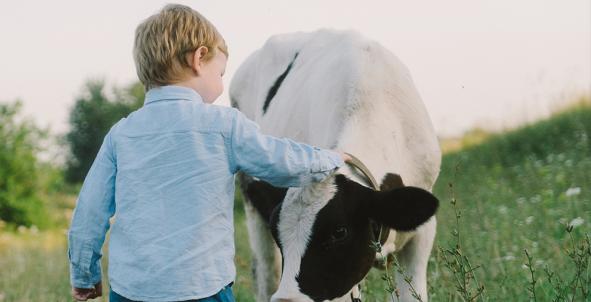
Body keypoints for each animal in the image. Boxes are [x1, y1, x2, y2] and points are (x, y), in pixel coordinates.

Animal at [229, 28, 442, 302]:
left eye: (339, 232)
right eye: (278, 233)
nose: (287, 299)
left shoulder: (421, 233)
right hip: (252, 206)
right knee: (265, 274)